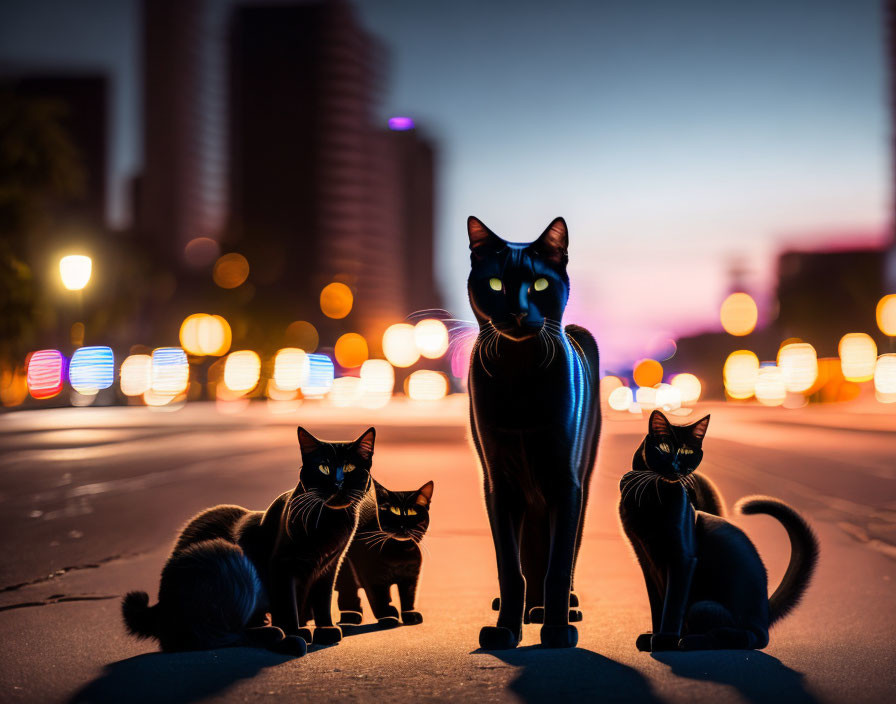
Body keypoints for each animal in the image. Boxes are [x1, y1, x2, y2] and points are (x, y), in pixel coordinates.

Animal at [121, 428, 372, 656]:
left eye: (350, 468)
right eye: (323, 468)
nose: (338, 484)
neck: (331, 520)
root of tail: (159, 609)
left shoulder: (330, 565)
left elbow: (322, 599)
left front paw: (325, 629)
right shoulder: (282, 567)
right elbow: (288, 606)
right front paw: (296, 631)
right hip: (227, 556)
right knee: (213, 635)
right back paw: (278, 636)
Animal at [334, 478, 436, 628]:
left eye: (412, 512)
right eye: (394, 510)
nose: (402, 525)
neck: (399, 553)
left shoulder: (411, 575)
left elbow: (409, 596)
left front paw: (410, 615)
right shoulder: (372, 575)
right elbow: (380, 597)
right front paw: (388, 617)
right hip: (345, 570)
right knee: (348, 594)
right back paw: (350, 618)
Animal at [468, 216, 600, 648]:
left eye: (540, 285)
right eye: (495, 284)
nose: (518, 311)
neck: (519, 366)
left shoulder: (566, 481)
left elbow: (558, 565)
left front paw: (557, 630)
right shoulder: (499, 483)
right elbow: (510, 566)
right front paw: (506, 629)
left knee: (564, 551)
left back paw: (554, 609)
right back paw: (528, 610)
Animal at [616, 410, 820, 652]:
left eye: (688, 452)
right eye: (665, 447)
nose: (677, 467)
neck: (650, 494)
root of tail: (765, 616)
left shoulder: (682, 559)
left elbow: (672, 603)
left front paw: (665, 639)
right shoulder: (645, 559)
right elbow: (657, 604)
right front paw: (653, 636)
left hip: (703, 606)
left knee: (744, 637)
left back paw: (688, 641)